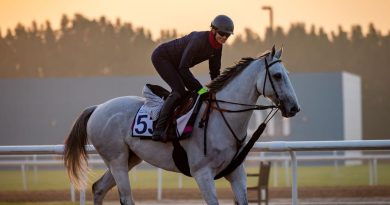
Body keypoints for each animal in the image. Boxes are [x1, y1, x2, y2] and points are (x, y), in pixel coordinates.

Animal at [64, 47, 302, 204]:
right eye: (278, 76)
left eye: (288, 75)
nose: (294, 108)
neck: (221, 120)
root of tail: (98, 107)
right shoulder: (202, 173)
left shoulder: (236, 172)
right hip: (117, 159)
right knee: (125, 196)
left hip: (129, 158)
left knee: (98, 188)